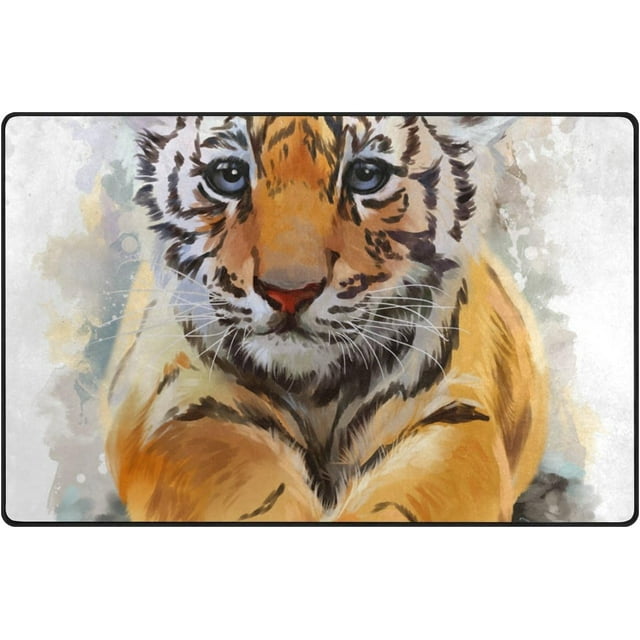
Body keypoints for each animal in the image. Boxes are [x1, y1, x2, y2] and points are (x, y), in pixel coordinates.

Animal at [100, 115, 548, 522]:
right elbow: (237, 472)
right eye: (227, 176)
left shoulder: (458, 407)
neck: (316, 391)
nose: (289, 292)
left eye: (367, 176)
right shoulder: (176, 401)